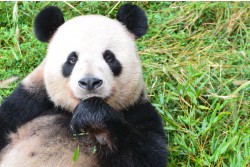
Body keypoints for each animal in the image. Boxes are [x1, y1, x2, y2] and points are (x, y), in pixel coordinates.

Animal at [0, 3, 168, 167]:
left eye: (109, 57)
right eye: (72, 59)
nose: (90, 82)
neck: (72, 111)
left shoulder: (136, 108)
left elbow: (145, 154)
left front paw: (92, 114)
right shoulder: (28, 102)